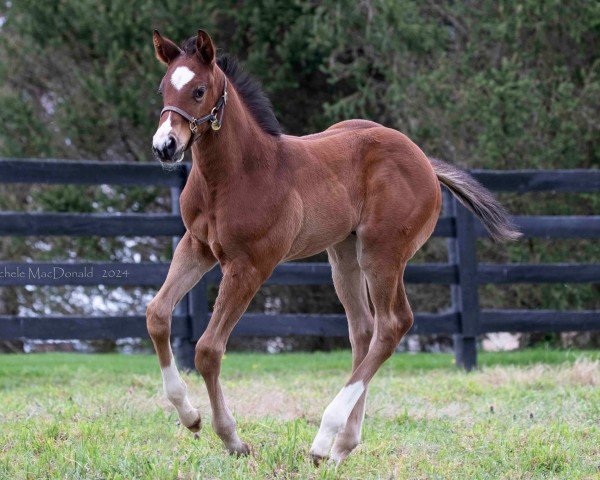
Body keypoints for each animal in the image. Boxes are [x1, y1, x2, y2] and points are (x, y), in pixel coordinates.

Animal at [146, 28, 520, 464]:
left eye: (199, 90)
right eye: (163, 88)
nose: (165, 146)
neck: (237, 173)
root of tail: (424, 160)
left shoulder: (250, 265)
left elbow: (208, 349)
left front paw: (232, 438)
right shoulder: (197, 246)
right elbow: (157, 315)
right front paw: (189, 416)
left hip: (383, 253)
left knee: (392, 325)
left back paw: (325, 438)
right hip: (344, 255)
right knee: (364, 330)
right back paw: (344, 444)